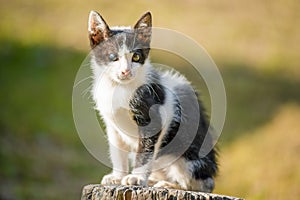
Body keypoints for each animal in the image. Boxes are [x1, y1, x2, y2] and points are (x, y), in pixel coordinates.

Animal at [88, 10, 217, 192]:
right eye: (113, 57)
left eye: (136, 56)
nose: (125, 71)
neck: (120, 88)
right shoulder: (112, 126)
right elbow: (117, 152)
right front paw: (117, 176)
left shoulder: (152, 118)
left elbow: (145, 150)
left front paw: (136, 177)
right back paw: (153, 181)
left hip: (185, 152)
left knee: (199, 184)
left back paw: (170, 185)